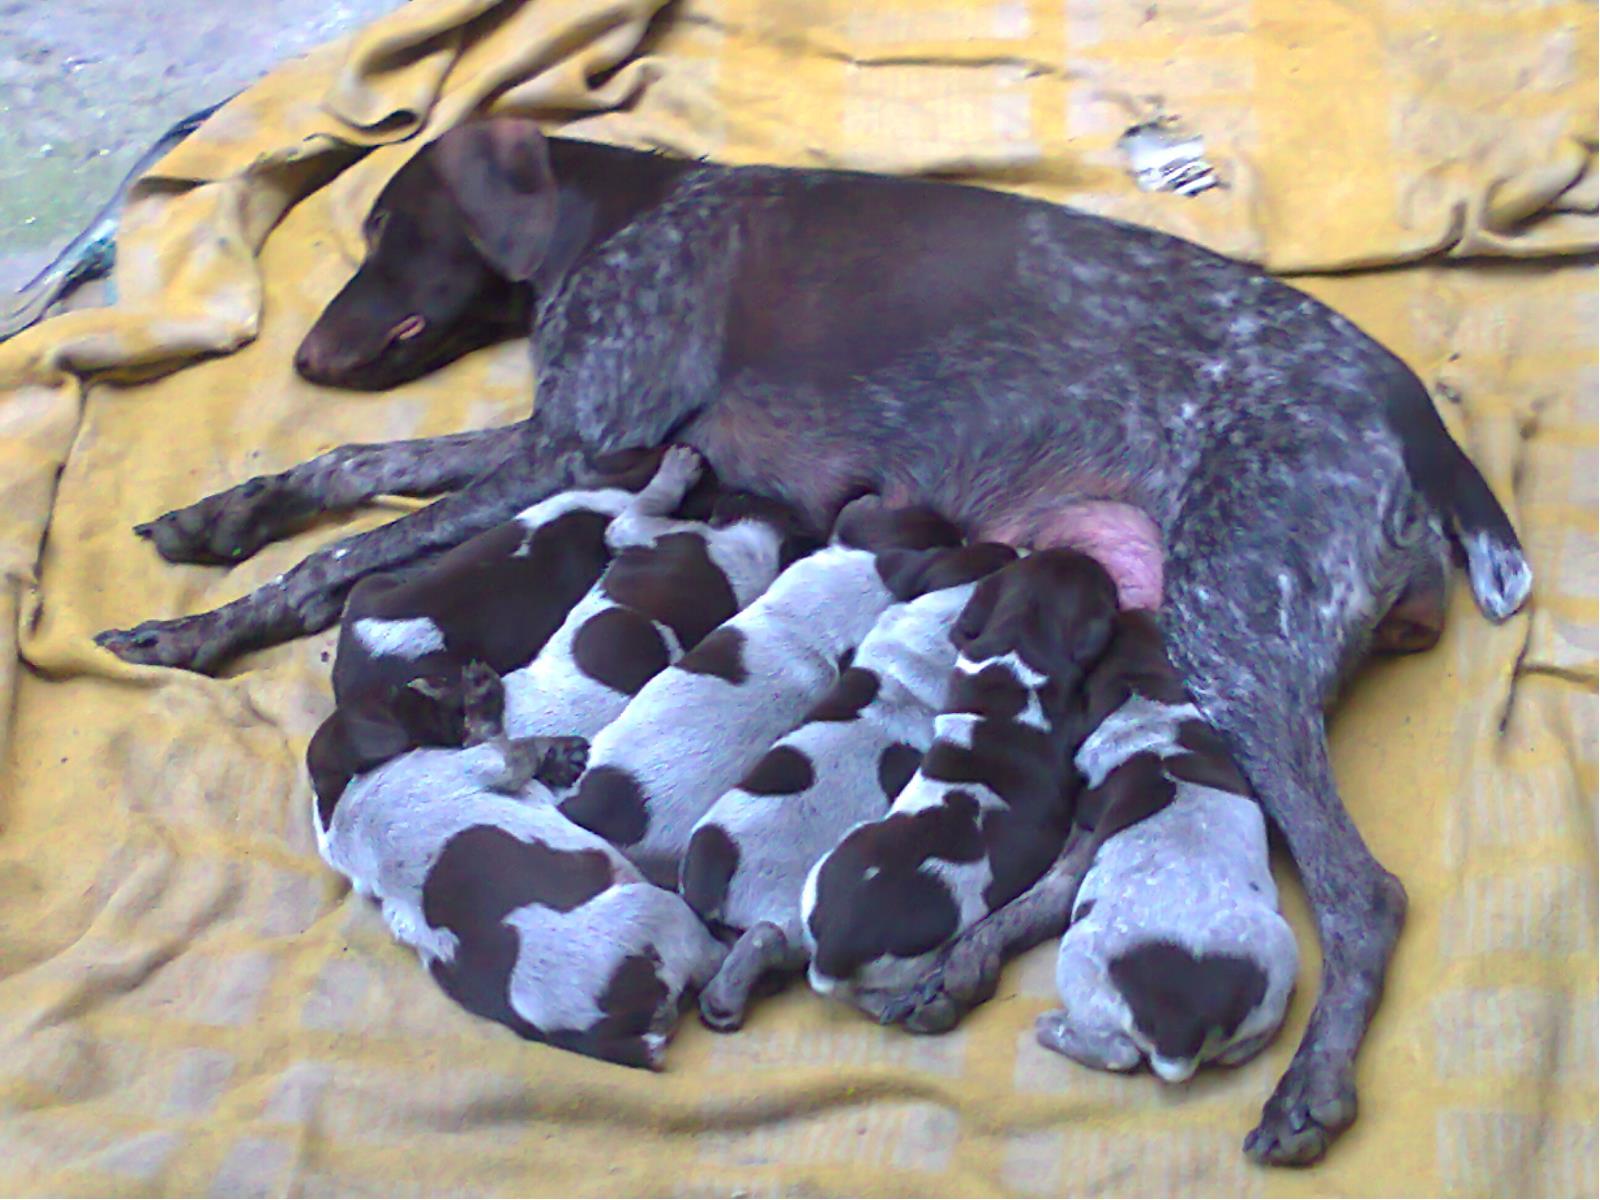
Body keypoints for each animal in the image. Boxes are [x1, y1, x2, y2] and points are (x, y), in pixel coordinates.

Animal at [315, 670, 723, 1070]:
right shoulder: (488, 760)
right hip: (665, 913)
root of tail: (612, 1033)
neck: (342, 803)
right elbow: (507, 741)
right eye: (431, 685)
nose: (475, 672)